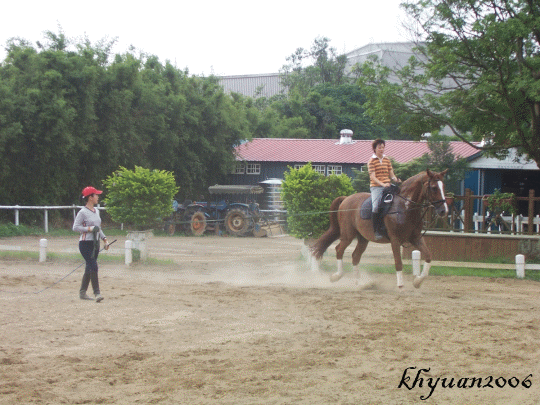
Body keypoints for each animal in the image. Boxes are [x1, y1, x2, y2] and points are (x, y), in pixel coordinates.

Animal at [310, 169, 450, 288]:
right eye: (434, 188)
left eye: (443, 187)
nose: (444, 211)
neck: (405, 207)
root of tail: (346, 198)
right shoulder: (395, 240)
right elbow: (398, 263)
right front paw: (400, 286)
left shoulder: (415, 238)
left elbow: (428, 256)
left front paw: (417, 281)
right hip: (348, 235)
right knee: (339, 250)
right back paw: (337, 276)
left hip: (363, 239)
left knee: (355, 256)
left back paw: (359, 283)